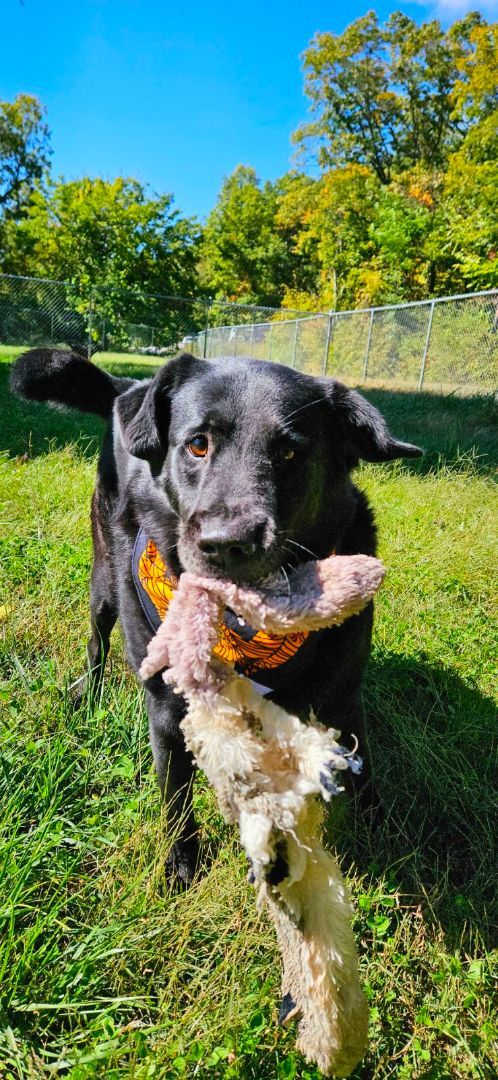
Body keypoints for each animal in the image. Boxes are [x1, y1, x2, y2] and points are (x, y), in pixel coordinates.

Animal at [12, 354, 419, 885]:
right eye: (198, 444)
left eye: (290, 453)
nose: (227, 543)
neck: (244, 628)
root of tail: (130, 385)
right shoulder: (168, 711)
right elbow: (175, 797)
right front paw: (182, 865)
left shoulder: (344, 696)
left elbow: (361, 769)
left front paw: (385, 833)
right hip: (104, 581)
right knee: (97, 640)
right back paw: (88, 694)